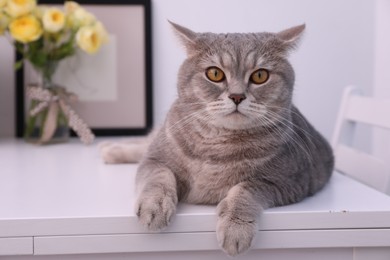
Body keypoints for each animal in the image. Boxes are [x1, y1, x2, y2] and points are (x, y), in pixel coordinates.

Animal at [100, 21, 332, 256]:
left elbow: (245, 189)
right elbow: (159, 177)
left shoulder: (288, 181)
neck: (215, 146)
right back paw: (111, 148)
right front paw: (155, 206)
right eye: (214, 73)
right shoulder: (155, 160)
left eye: (260, 76)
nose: (237, 96)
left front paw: (235, 228)